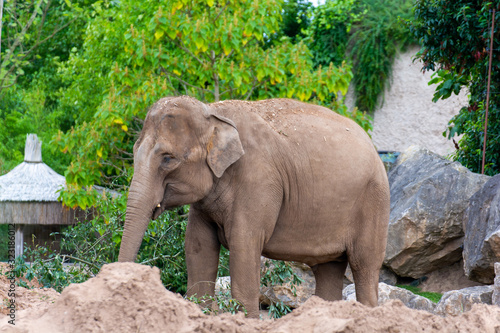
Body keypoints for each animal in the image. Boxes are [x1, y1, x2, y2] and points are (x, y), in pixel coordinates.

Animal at [118, 94, 390, 316]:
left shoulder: (258, 181)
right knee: (328, 269)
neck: (213, 113)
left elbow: (244, 244)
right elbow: (198, 246)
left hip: (374, 202)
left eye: (167, 159)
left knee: (364, 266)